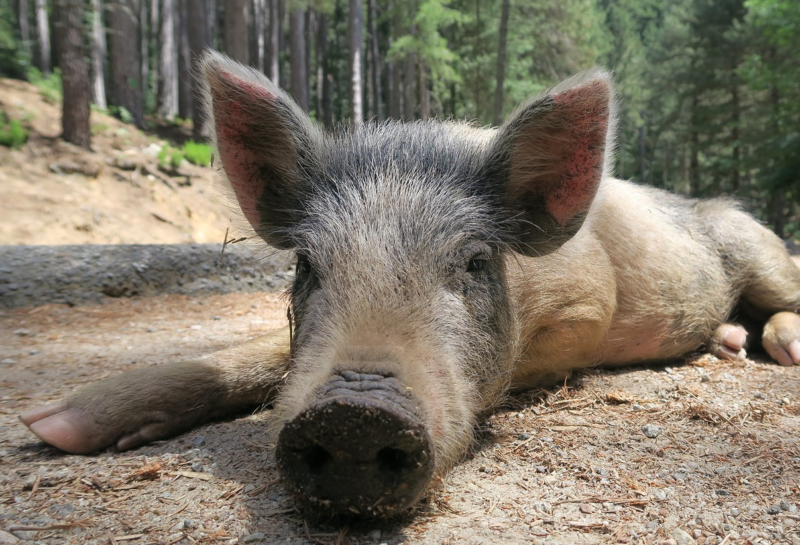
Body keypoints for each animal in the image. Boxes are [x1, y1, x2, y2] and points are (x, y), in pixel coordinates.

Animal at [17, 53, 800, 516]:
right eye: (307, 264)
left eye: (476, 262)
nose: (354, 414)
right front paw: (48, 428)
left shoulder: (590, 304)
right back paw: (728, 342)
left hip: (757, 245)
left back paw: (775, 348)